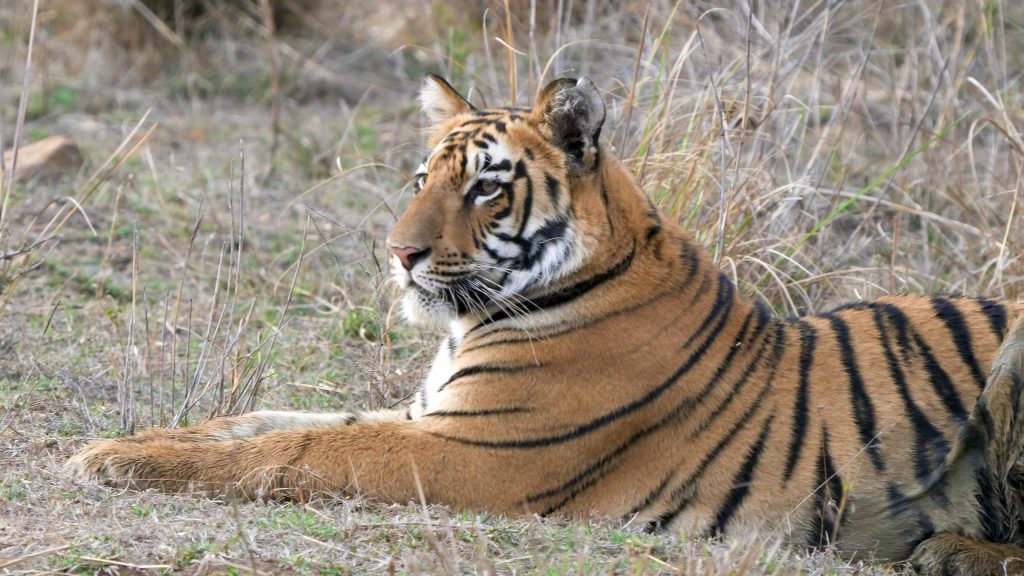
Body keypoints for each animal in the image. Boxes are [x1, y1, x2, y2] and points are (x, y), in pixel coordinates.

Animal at [74, 73, 1024, 569]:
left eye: (485, 188)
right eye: (421, 178)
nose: (398, 253)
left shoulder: (474, 450)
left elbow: (300, 447)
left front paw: (114, 461)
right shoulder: (429, 413)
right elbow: (257, 421)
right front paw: (117, 448)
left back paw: (954, 551)